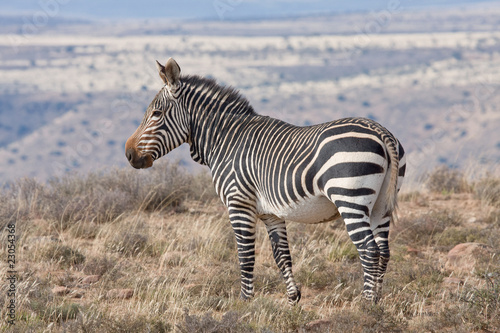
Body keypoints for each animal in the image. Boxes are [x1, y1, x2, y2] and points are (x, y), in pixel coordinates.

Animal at [125, 57, 406, 304]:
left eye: (156, 114)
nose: (128, 154)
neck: (225, 139)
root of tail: (381, 132)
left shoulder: (238, 204)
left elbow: (245, 255)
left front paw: (244, 303)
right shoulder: (271, 213)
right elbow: (281, 255)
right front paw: (293, 299)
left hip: (350, 198)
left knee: (369, 250)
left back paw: (366, 305)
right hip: (380, 204)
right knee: (383, 251)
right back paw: (377, 304)